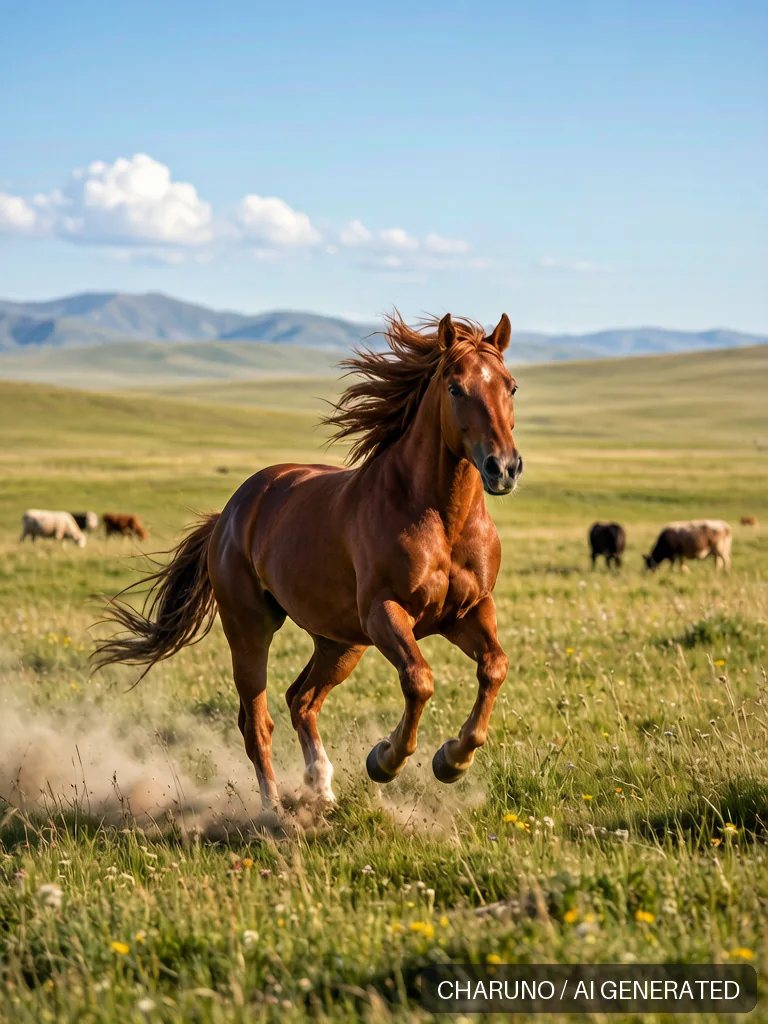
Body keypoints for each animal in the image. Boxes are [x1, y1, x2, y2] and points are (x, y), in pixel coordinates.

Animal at [94, 313, 523, 811]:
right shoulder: (386, 613)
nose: (503, 468)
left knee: (301, 700)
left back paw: (321, 790)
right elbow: (419, 679)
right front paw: (386, 759)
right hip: (252, 629)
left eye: (511, 387)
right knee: (257, 723)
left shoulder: (468, 612)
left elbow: (494, 667)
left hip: (340, 642)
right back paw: (275, 811)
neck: (440, 518)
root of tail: (232, 512)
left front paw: (452, 760)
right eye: (455, 388)